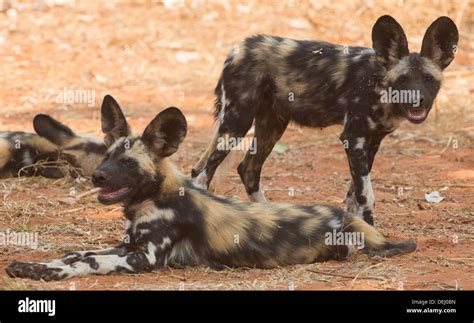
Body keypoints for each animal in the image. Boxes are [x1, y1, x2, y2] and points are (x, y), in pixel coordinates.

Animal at [6, 95, 414, 280]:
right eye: (105, 157)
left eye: (128, 164)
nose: (98, 178)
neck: (153, 200)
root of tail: (343, 217)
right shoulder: (127, 246)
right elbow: (77, 253)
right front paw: (32, 265)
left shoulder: (143, 258)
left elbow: (86, 260)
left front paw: (46, 273)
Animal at [191, 15, 458, 225]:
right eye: (402, 80)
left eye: (428, 79)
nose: (417, 101)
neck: (380, 84)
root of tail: (238, 49)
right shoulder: (353, 137)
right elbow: (366, 195)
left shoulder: (371, 142)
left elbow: (354, 194)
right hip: (237, 123)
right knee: (202, 172)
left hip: (271, 126)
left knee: (247, 169)